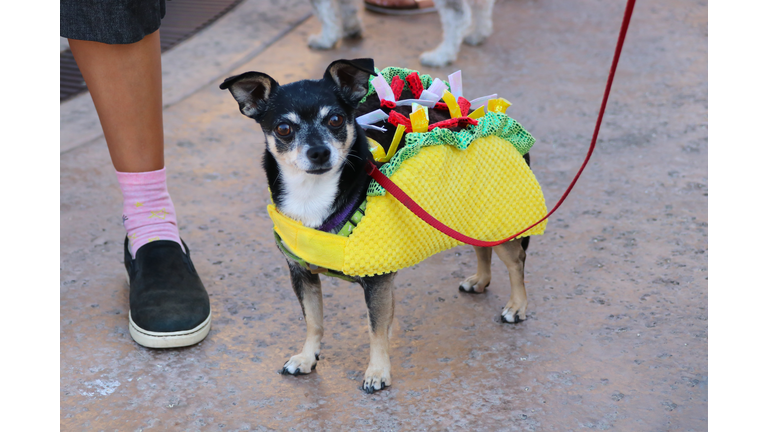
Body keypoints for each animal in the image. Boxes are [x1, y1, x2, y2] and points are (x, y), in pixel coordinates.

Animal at [219, 59, 532, 394]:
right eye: (283, 129)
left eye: (336, 120)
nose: (319, 152)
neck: (312, 196)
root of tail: (472, 111)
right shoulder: (301, 274)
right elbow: (314, 321)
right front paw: (307, 357)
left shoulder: (377, 281)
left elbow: (376, 330)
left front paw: (378, 372)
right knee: (481, 247)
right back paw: (480, 280)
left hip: (498, 221)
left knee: (516, 262)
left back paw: (517, 306)